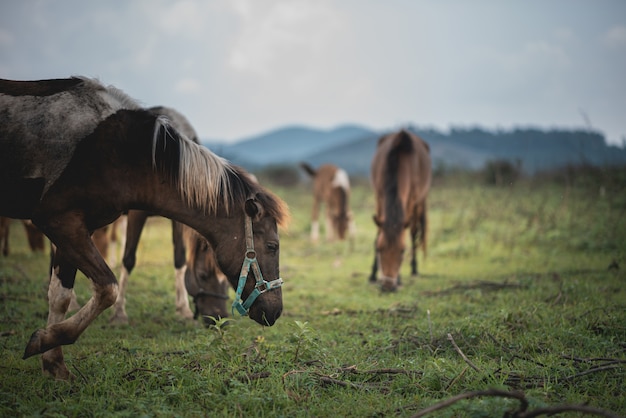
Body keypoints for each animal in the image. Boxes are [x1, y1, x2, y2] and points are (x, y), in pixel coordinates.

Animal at [0, 76, 288, 380]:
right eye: (272, 246)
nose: (218, 318)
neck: (129, 154)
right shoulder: (69, 220)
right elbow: (117, 274)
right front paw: (117, 316)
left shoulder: (76, 225)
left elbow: (62, 295)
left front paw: (53, 358)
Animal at [370, 130, 428, 290]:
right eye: (379, 249)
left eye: (402, 251)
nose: (388, 286)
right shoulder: (379, 196)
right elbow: (378, 232)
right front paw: (373, 274)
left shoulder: (411, 200)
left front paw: (400, 278)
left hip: (420, 202)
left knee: (414, 233)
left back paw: (414, 268)